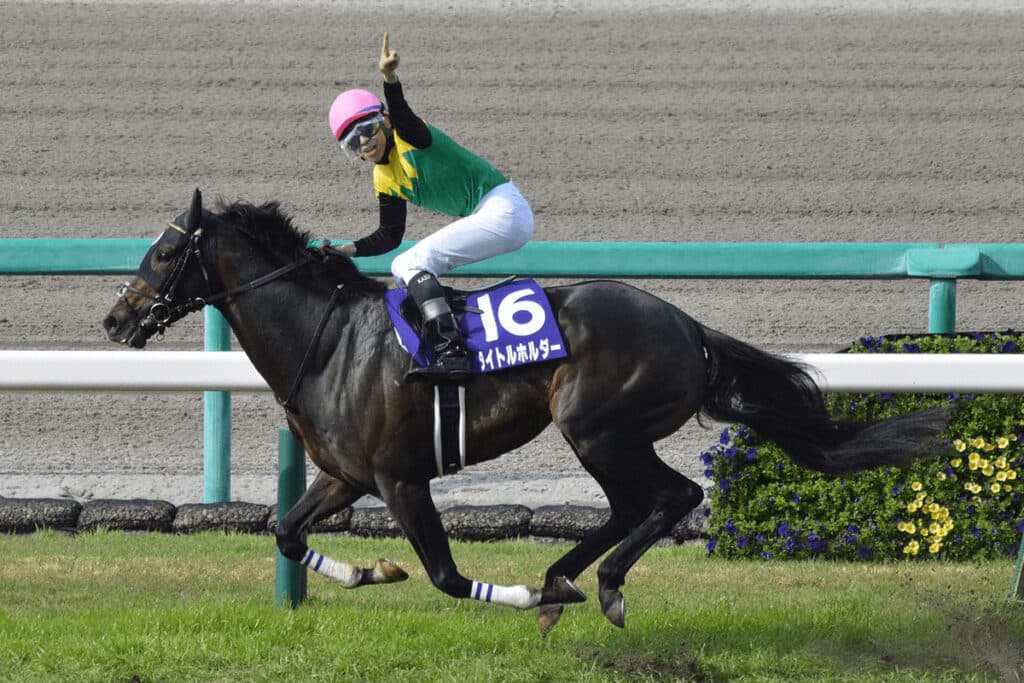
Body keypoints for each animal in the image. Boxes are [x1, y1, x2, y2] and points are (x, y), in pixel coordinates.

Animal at [103, 189, 949, 635]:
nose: (115, 320)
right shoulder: (345, 475)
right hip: (602, 436)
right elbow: (284, 532)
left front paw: (507, 594)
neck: (330, 341)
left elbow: (447, 575)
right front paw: (372, 570)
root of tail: (689, 328)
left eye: (163, 253)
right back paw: (567, 576)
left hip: (598, 427)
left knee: (673, 494)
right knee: (632, 507)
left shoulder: (401, 479)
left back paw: (593, 584)